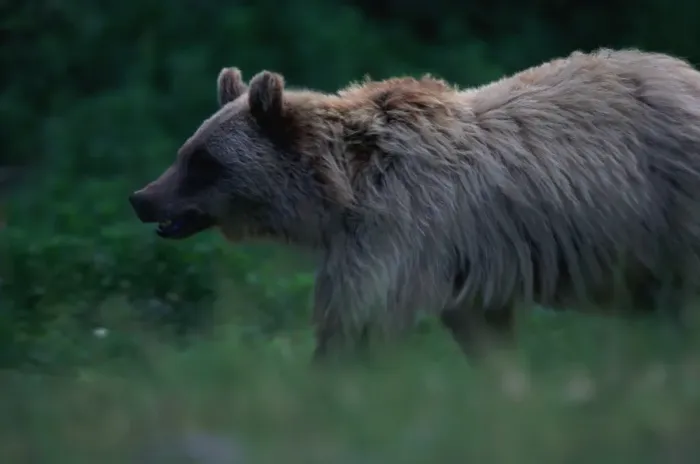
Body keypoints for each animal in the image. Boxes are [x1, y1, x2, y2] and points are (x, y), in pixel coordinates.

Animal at [130, 48, 700, 362]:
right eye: (185, 150)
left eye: (203, 161)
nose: (142, 198)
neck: (340, 190)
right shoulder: (464, 261)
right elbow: (482, 328)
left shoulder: (400, 230)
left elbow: (359, 318)